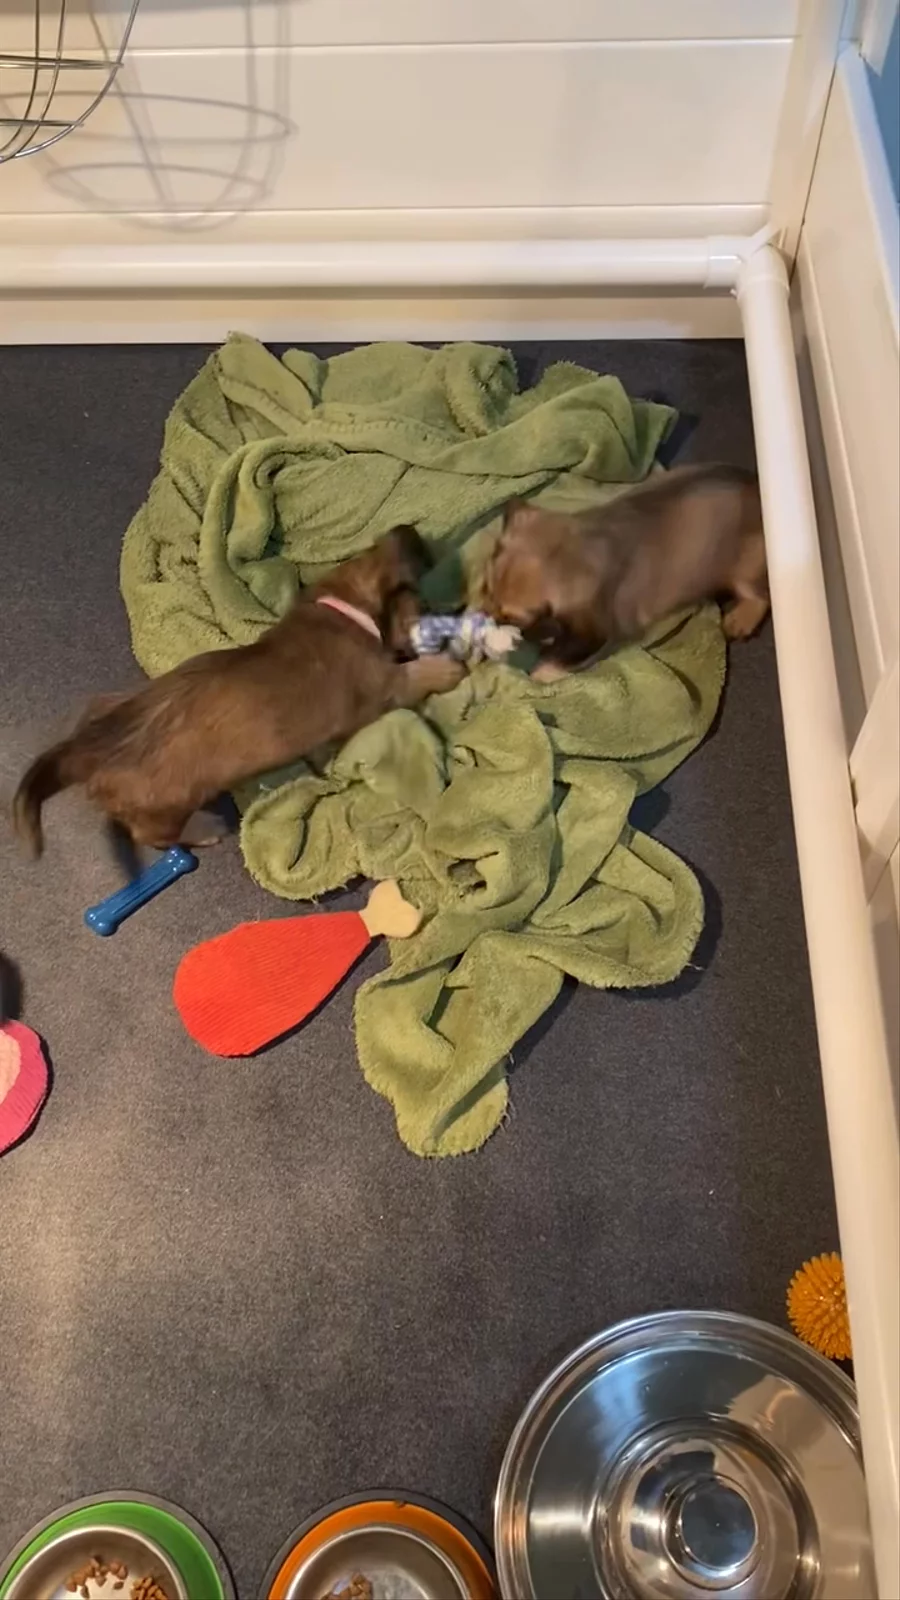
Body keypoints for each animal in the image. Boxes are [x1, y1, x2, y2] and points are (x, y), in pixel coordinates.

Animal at [12, 527, 464, 856]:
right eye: (423, 609)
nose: (457, 617)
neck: (344, 608)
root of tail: (88, 747)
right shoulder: (385, 685)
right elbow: (415, 676)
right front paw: (449, 667)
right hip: (168, 805)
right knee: (150, 835)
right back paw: (203, 829)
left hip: (108, 706)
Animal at [475, 464, 767, 666]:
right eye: (486, 588)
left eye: (512, 617)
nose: (481, 619)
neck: (583, 544)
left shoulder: (597, 632)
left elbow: (554, 663)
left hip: (745, 568)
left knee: (761, 597)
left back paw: (740, 620)